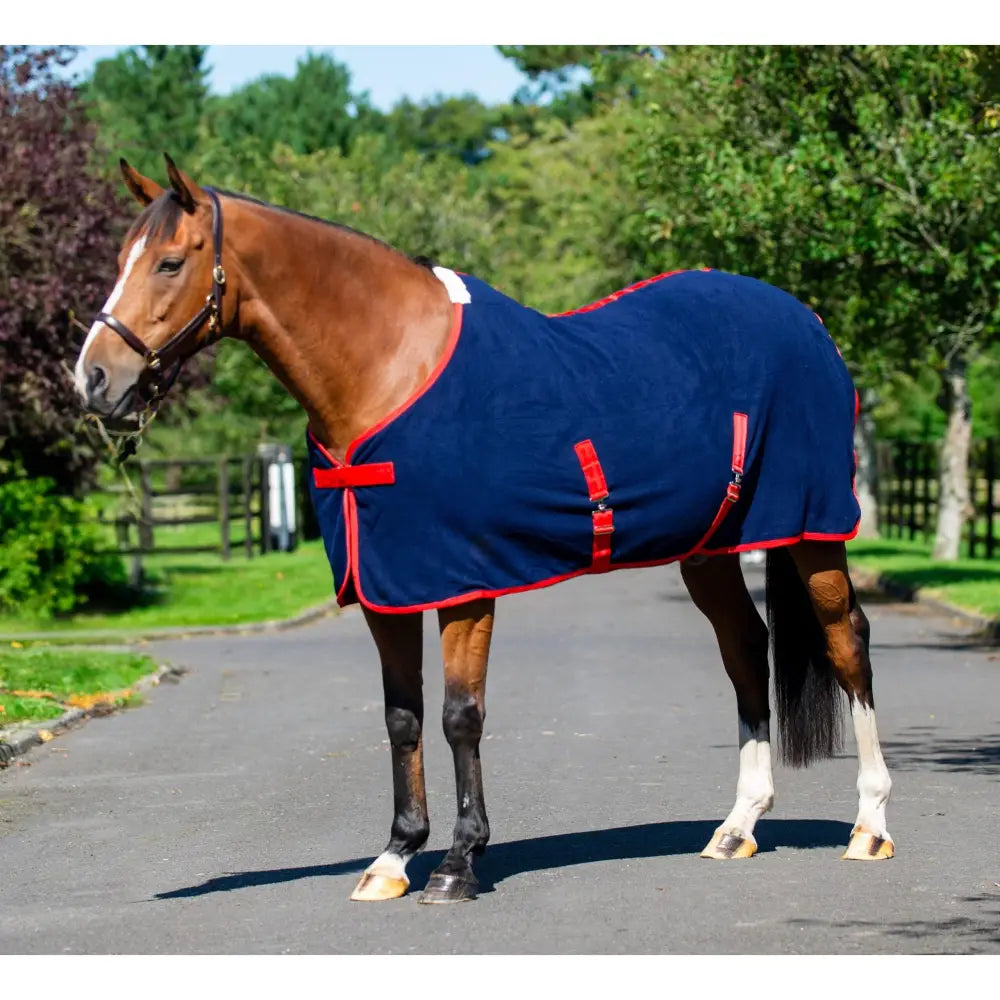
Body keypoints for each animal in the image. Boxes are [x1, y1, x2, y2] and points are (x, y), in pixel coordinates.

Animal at [74, 155, 893, 905]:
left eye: (171, 262)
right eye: (117, 263)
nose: (94, 380)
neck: (388, 369)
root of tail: (808, 321)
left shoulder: (464, 584)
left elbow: (459, 716)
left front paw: (459, 862)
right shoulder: (387, 587)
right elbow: (401, 717)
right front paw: (394, 856)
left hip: (811, 532)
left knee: (846, 641)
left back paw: (870, 825)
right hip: (711, 550)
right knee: (745, 650)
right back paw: (738, 826)